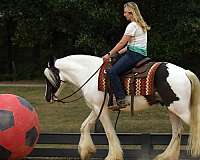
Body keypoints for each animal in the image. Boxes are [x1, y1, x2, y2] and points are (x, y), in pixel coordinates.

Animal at [43, 54, 200, 160]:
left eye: (49, 78)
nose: (47, 98)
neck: (89, 73)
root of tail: (185, 72)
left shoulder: (101, 110)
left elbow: (109, 132)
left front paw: (112, 155)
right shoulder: (97, 108)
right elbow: (84, 125)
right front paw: (86, 151)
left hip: (181, 110)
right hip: (172, 109)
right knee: (177, 131)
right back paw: (166, 156)